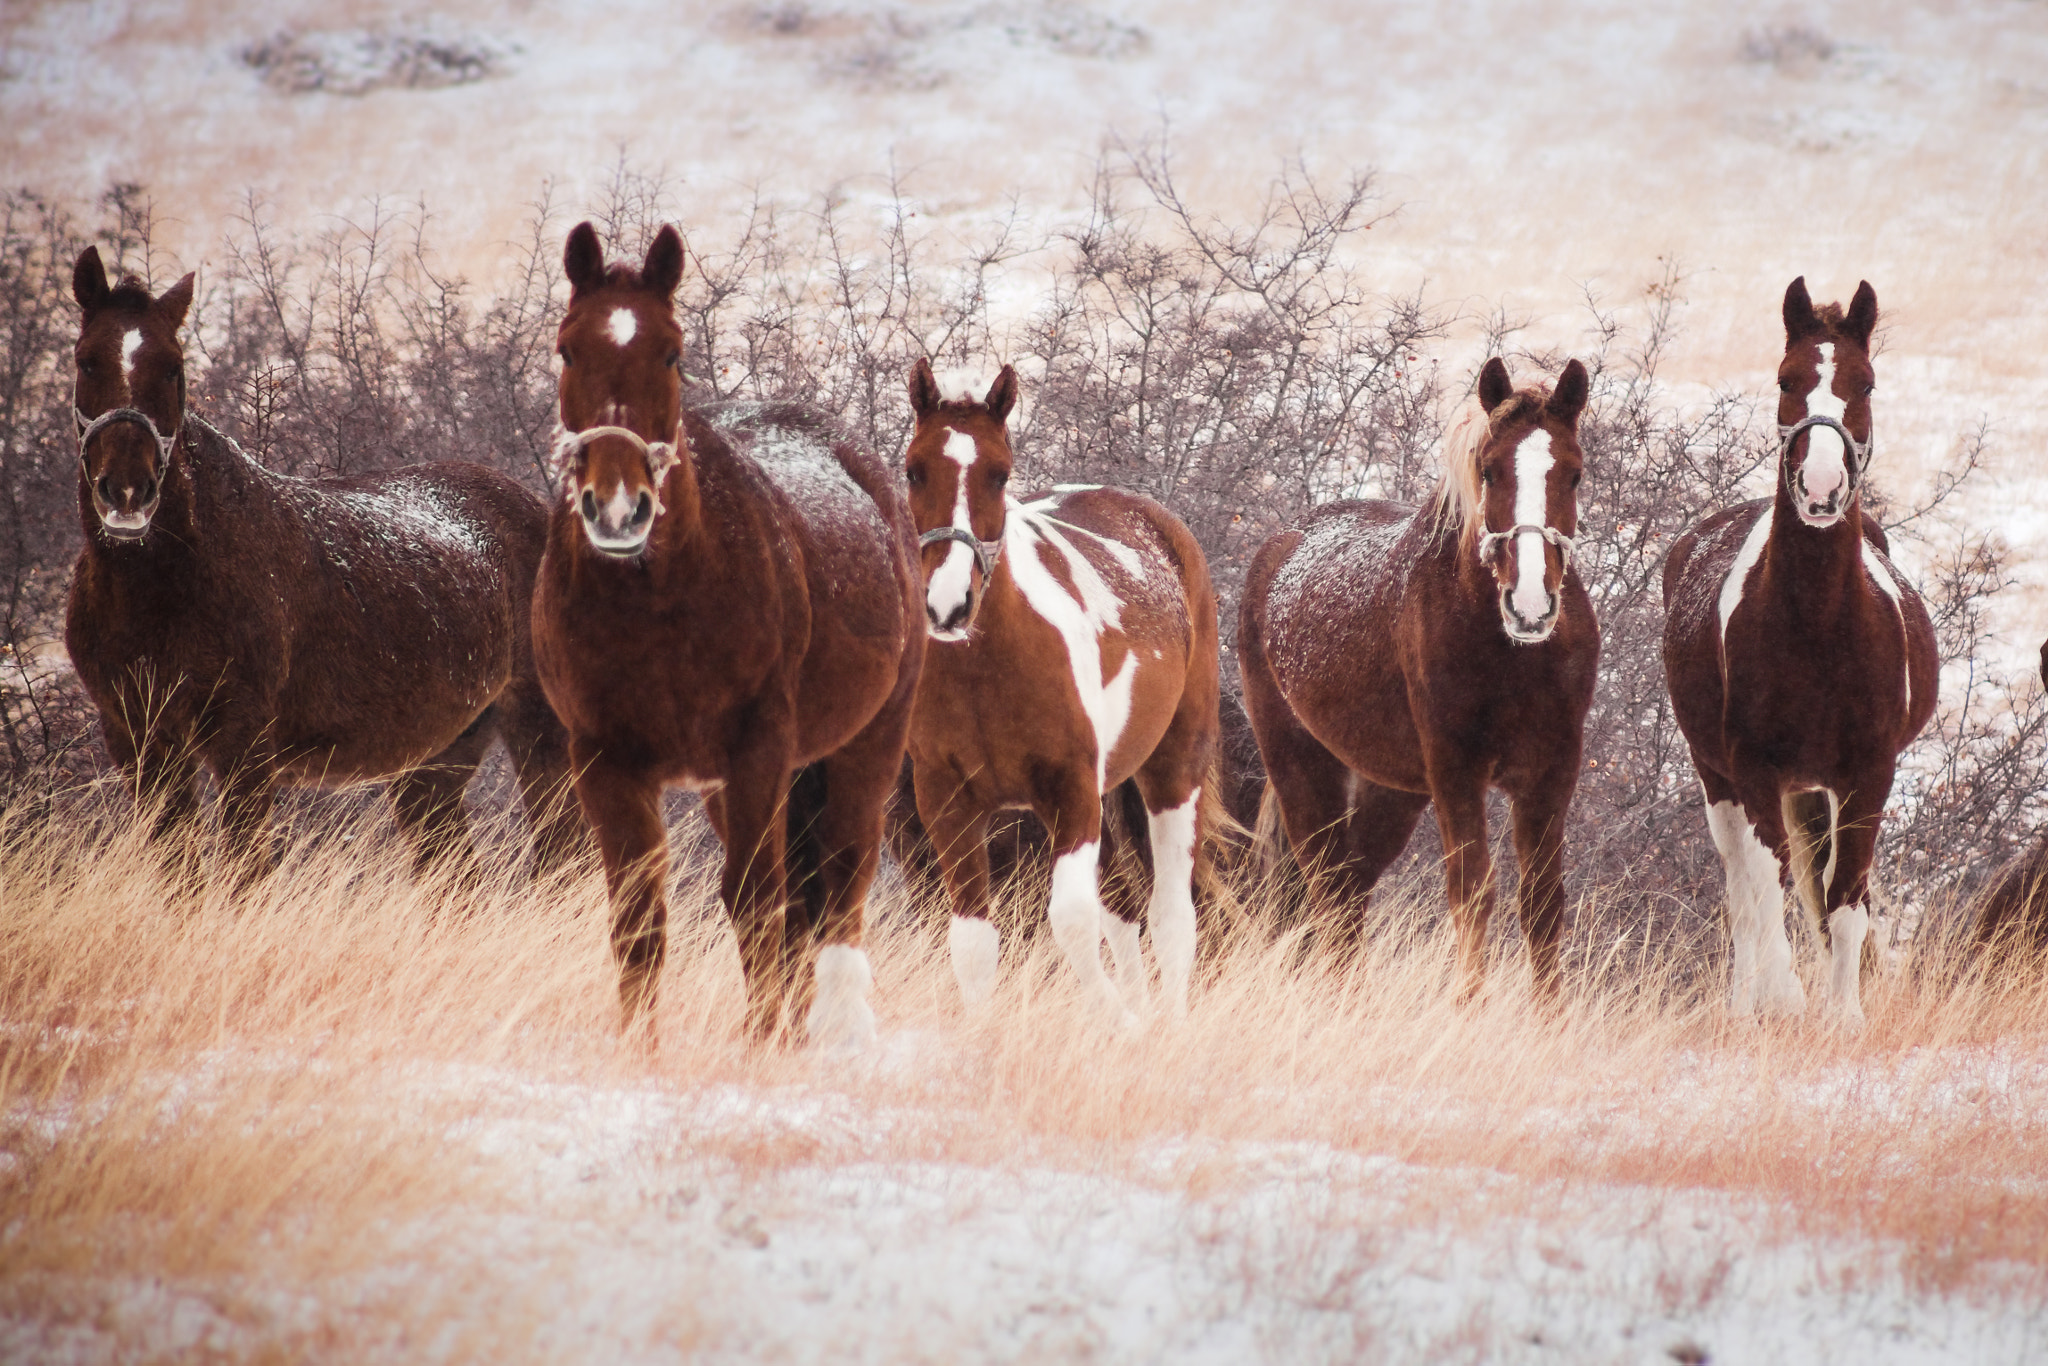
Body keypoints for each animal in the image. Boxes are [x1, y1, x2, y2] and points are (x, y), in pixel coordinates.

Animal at [64, 248, 582, 879]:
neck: (160, 590)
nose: (126, 490)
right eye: (87, 361)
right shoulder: (138, 743)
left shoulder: (243, 745)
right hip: (435, 761)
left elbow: (244, 874)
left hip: (540, 732)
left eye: (172, 368)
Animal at [533, 223, 923, 1048]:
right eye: (568, 348)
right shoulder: (605, 760)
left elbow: (755, 902)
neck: (655, 605)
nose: (619, 506)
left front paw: (763, 1043)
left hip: (863, 751)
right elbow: (638, 918)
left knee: (836, 889)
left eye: (672, 351)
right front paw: (639, 1047)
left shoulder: (757, 752)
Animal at [900, 360, 1223, 1022]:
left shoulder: (1070, 793)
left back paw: (1167, 1020)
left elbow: (1071, 922)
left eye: (1000, 474)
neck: (987, 674)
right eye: (914, 469)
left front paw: (1122, 1024)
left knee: (1171, 917)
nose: (948, 605)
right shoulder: (946, 801)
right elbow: (973, 944)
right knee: (1125, 911)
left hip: (1174, 771)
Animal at [1238, 358, 1597, 1000]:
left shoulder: (1552, 770)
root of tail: (1278, 550)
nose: (1530, 606)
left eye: (1575, 474)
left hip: (1392, 788)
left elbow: (1542, 904)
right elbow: (1473, 893)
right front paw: (1469, 1007)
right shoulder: (1457, 770)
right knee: (1325, 885)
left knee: (1349, 889)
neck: (1513, 657)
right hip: (1301, 764)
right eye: (1488, 470)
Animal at [1662, 278, 1937, 1026]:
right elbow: (1766, 885)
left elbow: (1845, 896)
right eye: (1787, 380)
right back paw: (1745, 1002)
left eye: (1864, 383)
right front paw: (1783, 1000)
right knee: (1743, 889)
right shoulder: (1754, 771)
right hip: (1719, 778)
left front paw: (1843, 1016)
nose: (1820, 488)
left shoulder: (1869, 774)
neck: (1816, 628)